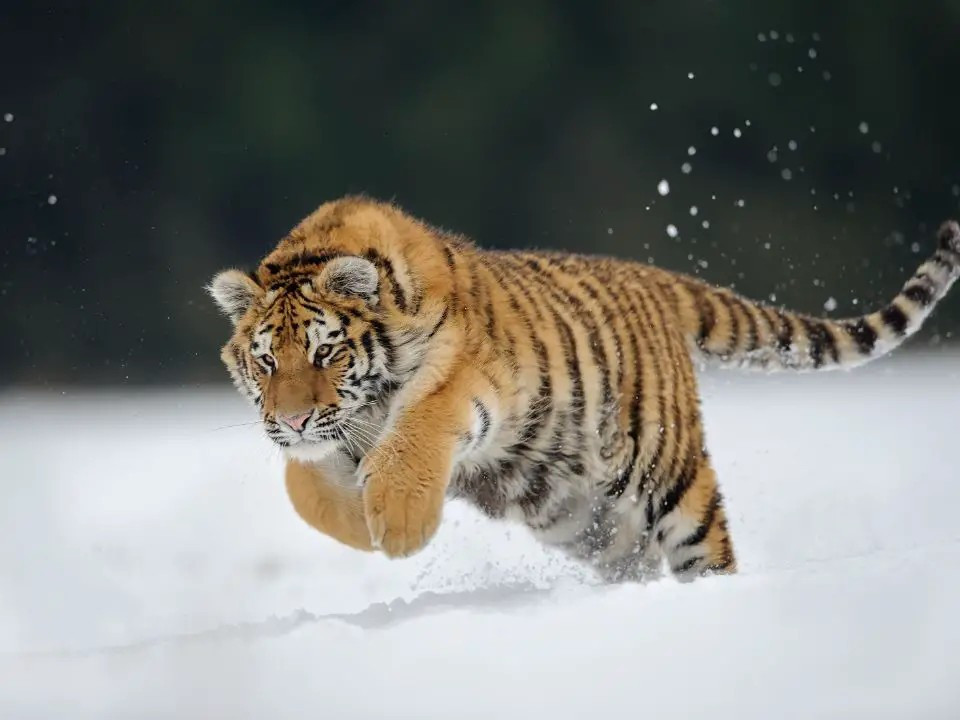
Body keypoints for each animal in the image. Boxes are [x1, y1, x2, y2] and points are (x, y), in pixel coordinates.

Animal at [206, 197, 956, 584]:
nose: (292, 421)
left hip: (671, 475)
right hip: (582, 517)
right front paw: (359, 524)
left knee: (705, 547)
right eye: (265, 362)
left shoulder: (466, 379)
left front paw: (396, 525)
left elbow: (417, 427)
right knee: (634, 557)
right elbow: (302, 489)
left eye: (325, 352)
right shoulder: (329, 440)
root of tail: (653, 278)